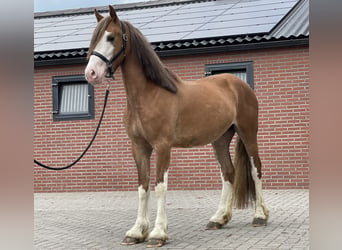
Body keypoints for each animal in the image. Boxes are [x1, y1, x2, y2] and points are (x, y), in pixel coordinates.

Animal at [84, 5, 268, 248]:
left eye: (111, 37)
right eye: (94, 38)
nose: (91, 73)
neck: (149, 95)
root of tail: (240, 84)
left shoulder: (163, 146)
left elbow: (160, 186)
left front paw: (158, 233)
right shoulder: (139, 147)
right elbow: (143, 187)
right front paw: (136, 232)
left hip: (248, 133)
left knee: (256, 169)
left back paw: (260, 216)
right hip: (220, 139)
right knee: (228, 172)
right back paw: (218, 219)